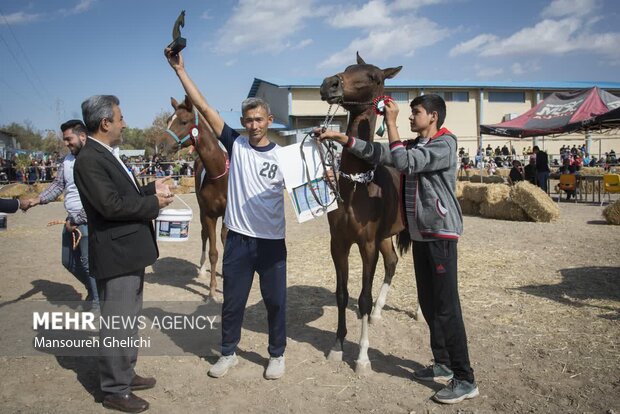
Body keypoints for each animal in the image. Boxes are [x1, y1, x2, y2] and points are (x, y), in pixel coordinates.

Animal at [163, 96, 229, 298]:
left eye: (184, 121)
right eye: (168, 120)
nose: (162, 145)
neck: (219, 176)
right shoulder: (209, 215)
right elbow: (213, 252)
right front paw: (212, 290)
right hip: (201, 211)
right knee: (204, 235)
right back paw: (201, 270)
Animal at [320, 53, 406, 374]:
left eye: (374, 77)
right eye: (347, 68)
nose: (329, 84)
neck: (357, 184)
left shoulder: (367, 246)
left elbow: (364, 297)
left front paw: (362, 357)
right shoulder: (339, 244)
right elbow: (343, 294)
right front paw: (337, 346)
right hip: (385, 237)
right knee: (392, 263)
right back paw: (378, 313)